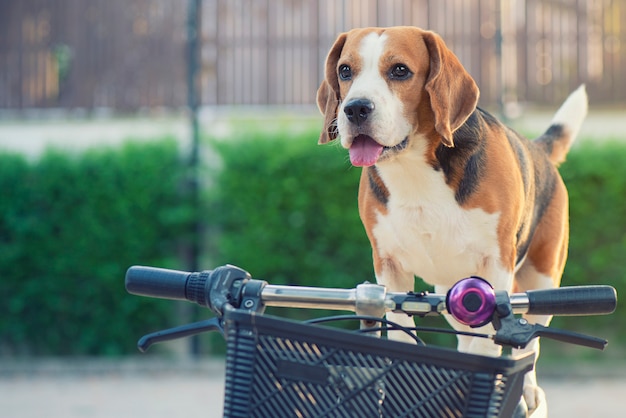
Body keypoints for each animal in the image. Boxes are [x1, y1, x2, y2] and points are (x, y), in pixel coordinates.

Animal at [316, 27, 584, 414]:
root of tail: (539, 149)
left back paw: (529, 390)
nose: (355, 109)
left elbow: (494, 342)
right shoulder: (388, 268)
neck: (413, 167)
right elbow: (400, 330)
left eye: (400, 70)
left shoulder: (496, 267)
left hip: (543, 276)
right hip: (450, 289)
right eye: (345, 71)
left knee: (531, 339)